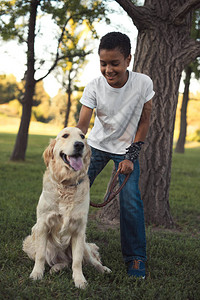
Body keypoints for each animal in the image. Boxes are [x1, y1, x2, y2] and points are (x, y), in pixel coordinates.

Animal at [23, 126, 111, 288]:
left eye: (82, 136)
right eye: (65, 136)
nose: (79, 145)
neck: (66, 185)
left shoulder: (79, 230)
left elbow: (77, 261)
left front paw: (80, 280)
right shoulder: (42, 225)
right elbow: (40, 256)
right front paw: (36, 274)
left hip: (84, 244)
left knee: (88, 260)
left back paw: (103, 269)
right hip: (29, 243)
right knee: (60, 261)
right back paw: (56, 268)